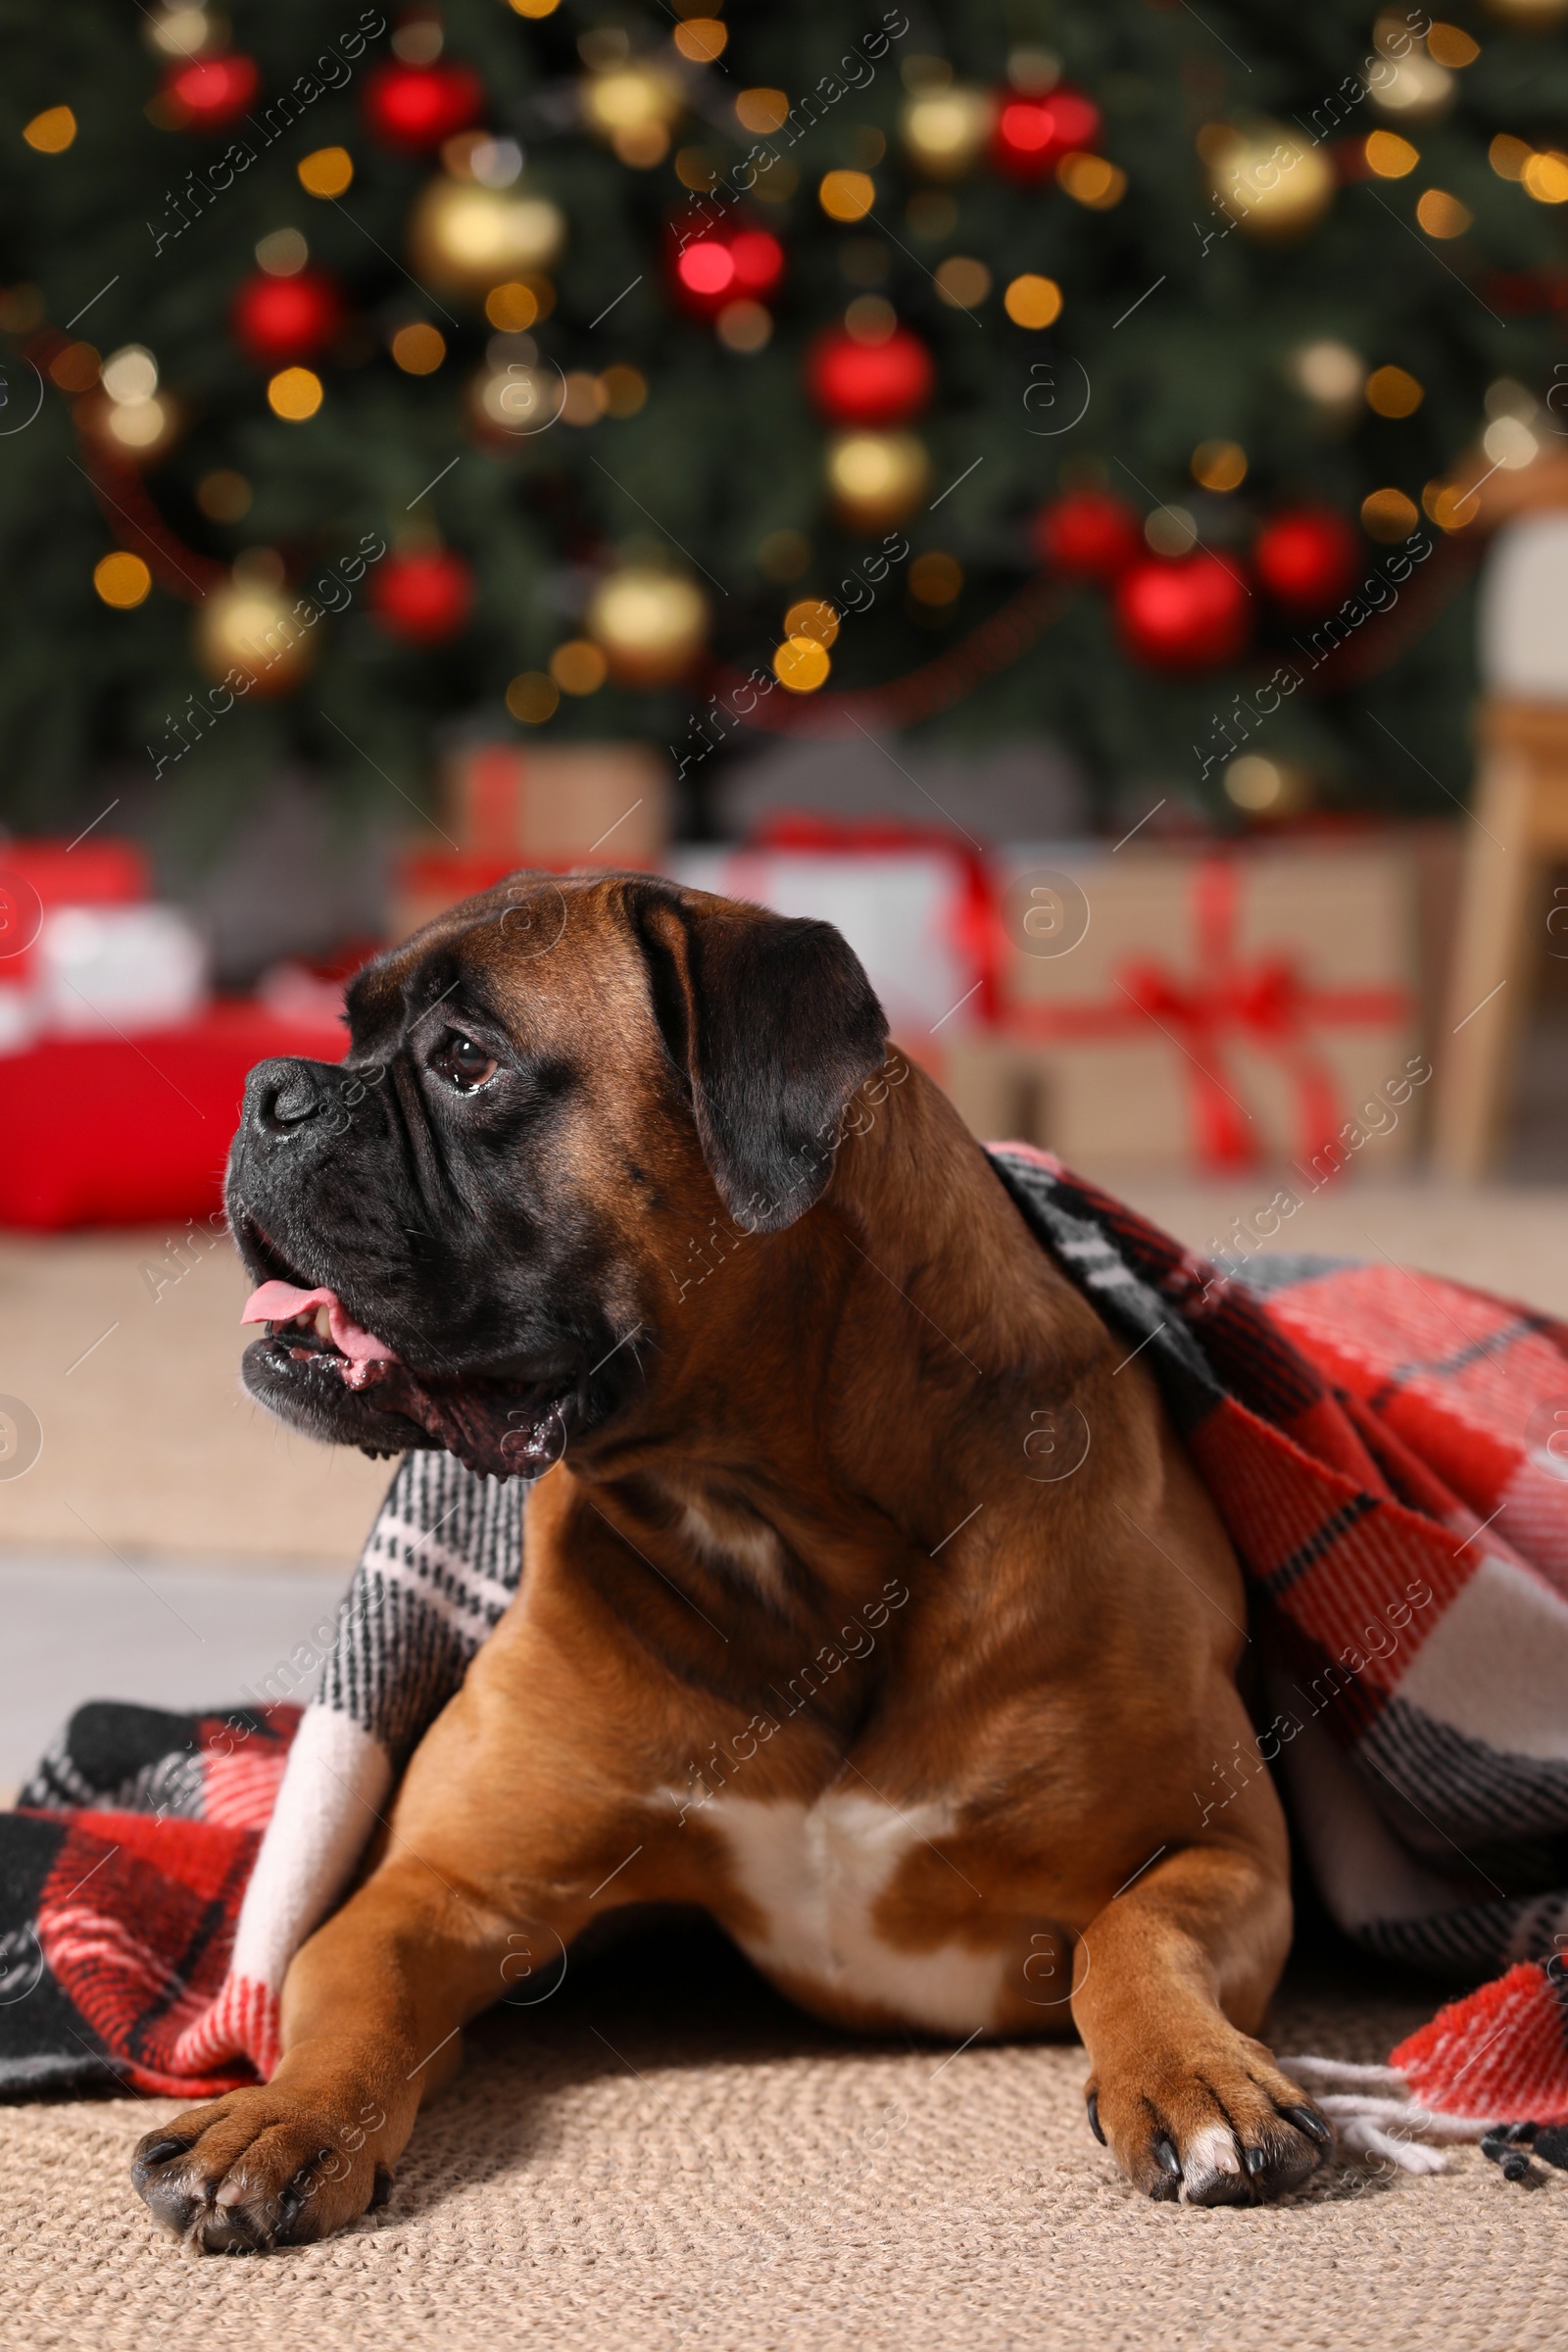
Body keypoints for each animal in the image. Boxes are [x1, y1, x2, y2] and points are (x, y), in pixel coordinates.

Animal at [131, 874, 1325, 2248]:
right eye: (345, 1031)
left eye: (467, 1060)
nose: (268, 1088)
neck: (776, 1530)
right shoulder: (434, 1887)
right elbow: (350, 1997)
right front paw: (277, 2116)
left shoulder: (1228, 1856)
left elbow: (1132, 1932)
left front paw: (1191, 2075)